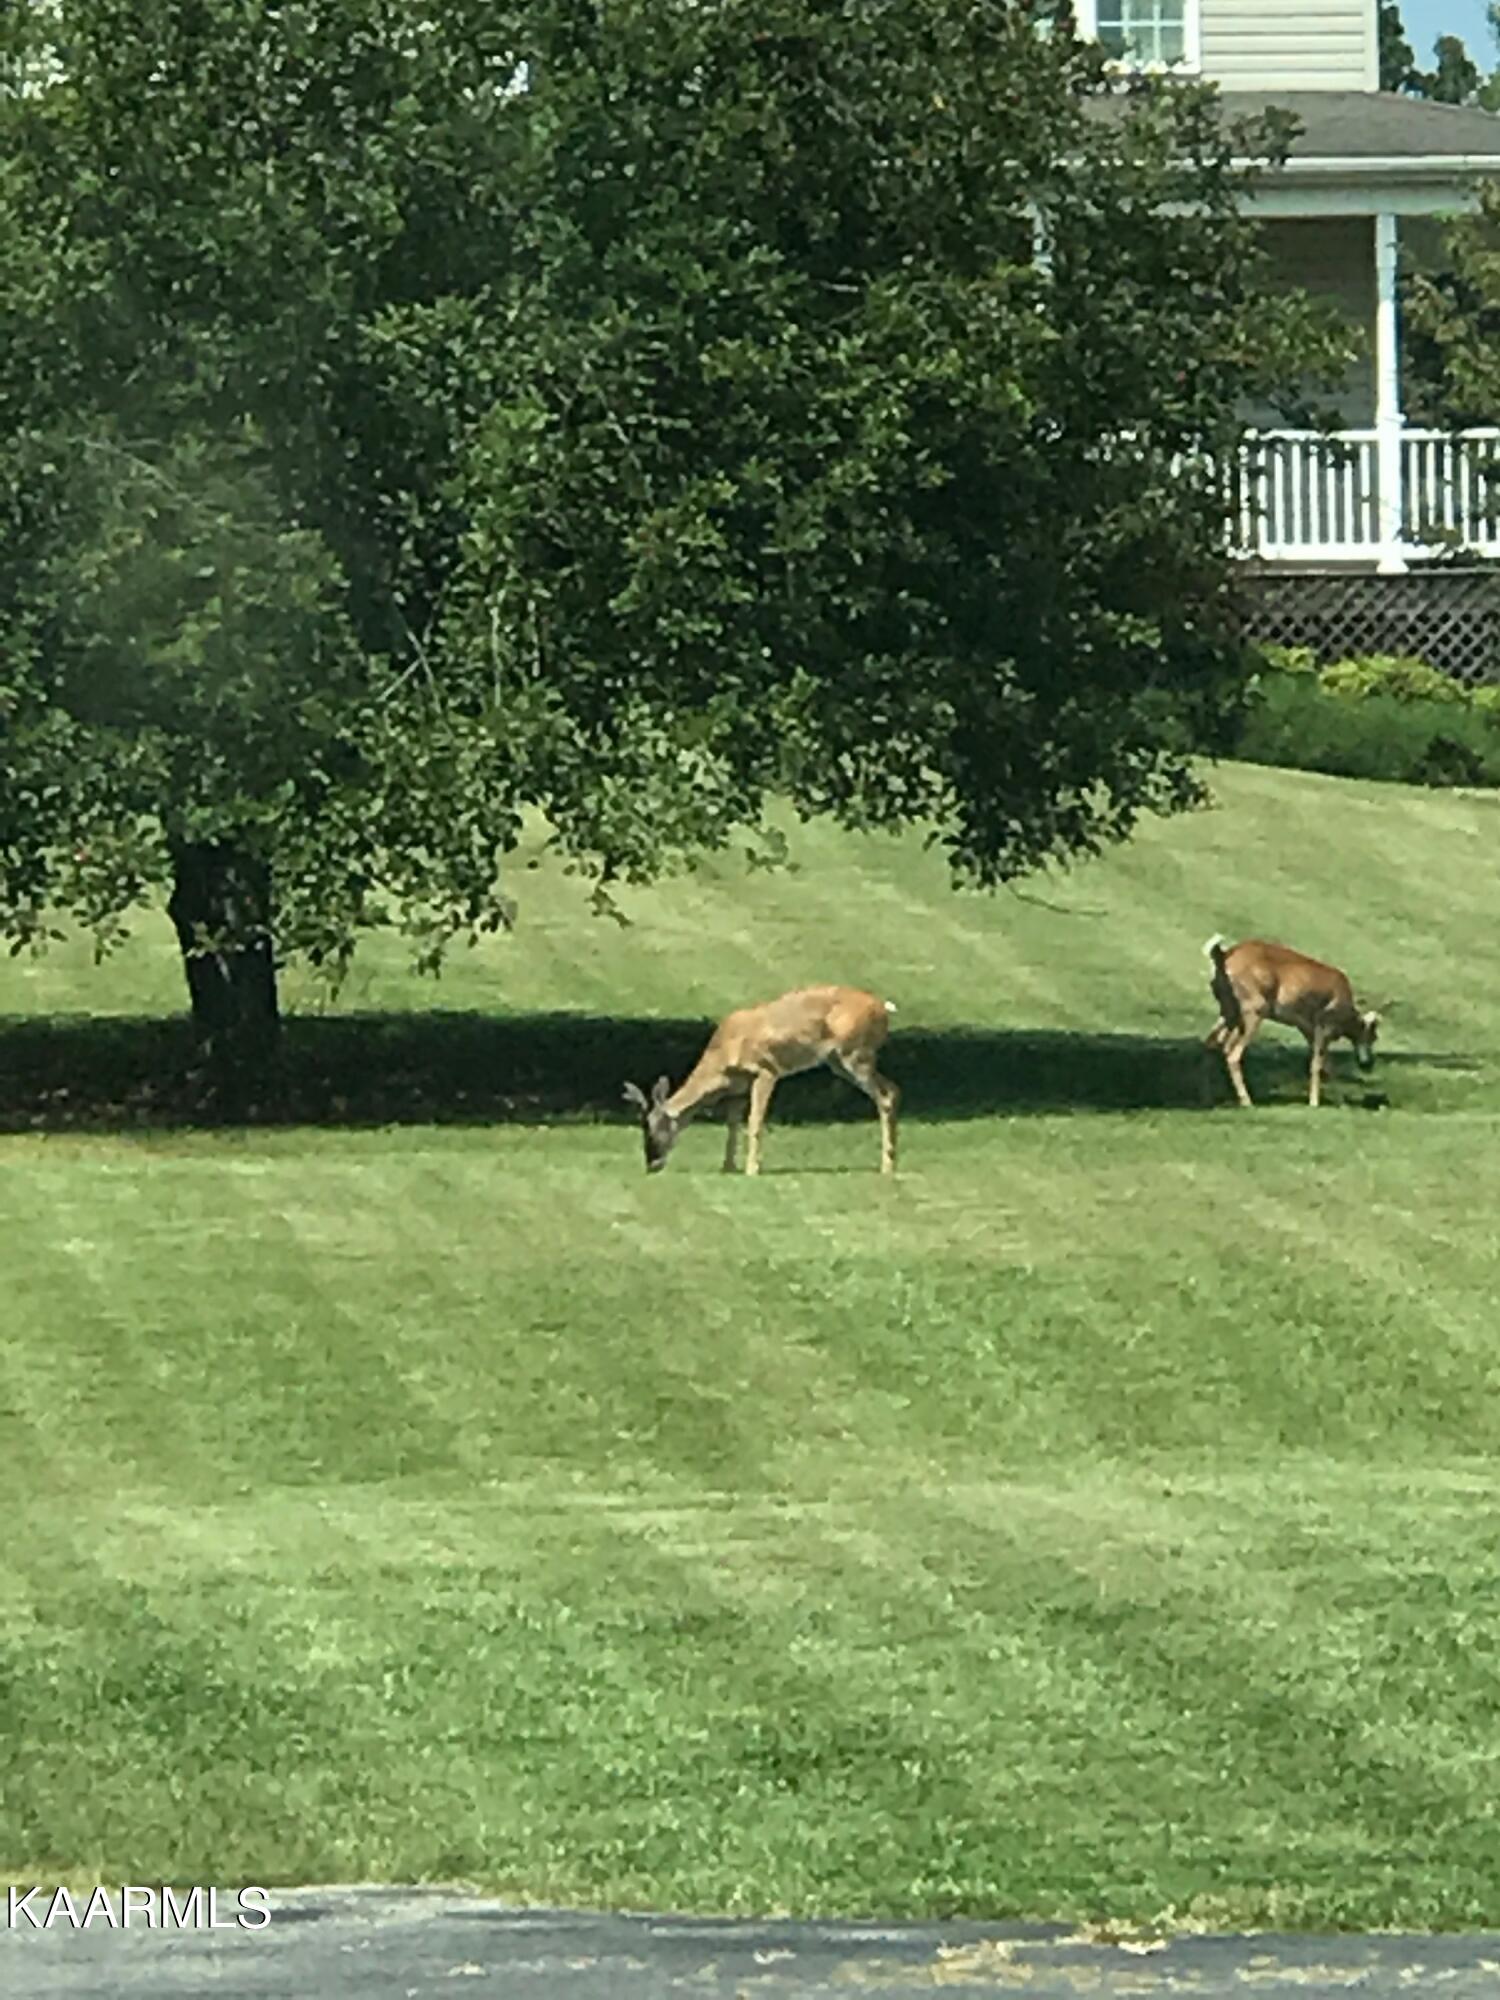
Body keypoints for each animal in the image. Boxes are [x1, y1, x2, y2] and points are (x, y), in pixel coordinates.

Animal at [622, 985, 899, 1176]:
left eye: (654, 1129)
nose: (651, 1164)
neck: (722, 1058)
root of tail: (883, 1007)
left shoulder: (766, 1070)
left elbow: (754, 1120)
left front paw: (752, 1168)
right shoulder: (737, 1087)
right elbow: (732, 1125)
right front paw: (728, 1166)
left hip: (855, 1054)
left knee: (887, 1093)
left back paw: (887, 1165)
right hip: (839, 1061)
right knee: (892, 1090)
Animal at [1202, 935, 1381, 1109]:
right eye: (1373, 1037)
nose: (1369, 1065)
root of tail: (1224, 955)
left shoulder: (1307, 1030)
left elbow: (1326, 1064)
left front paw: (1340, 1102)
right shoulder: (1323, 1028)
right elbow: (1317, 1064)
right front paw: (1314, 1103)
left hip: (1228, 1013)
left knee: (1212, 1044)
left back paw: (1211, 1099)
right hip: (1255, 1012)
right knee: (1232, 1055)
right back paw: (1247, 1102)